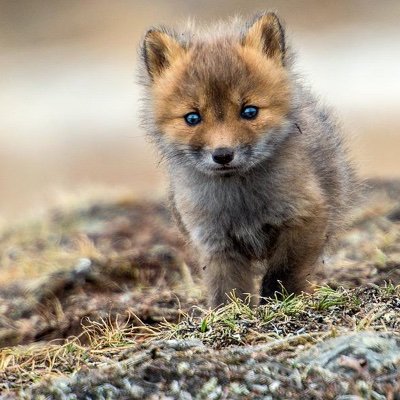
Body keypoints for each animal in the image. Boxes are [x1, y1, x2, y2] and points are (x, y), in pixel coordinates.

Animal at [140, 11, 356, 306]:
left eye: (249, 111)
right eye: (192, 118)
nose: (222, 155)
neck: (240, 201)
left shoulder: (305, 216)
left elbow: (283, 272)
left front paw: (282, 301)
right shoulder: (214, 241)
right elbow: (228, 290)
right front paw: (230, 312)